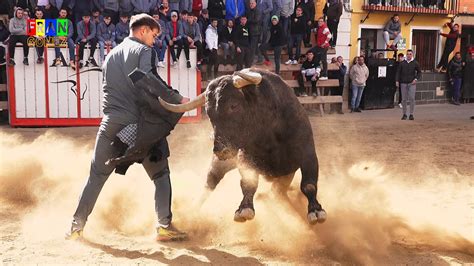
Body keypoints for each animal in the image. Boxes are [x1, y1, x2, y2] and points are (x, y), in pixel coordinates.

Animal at [159, 68, 326, 224]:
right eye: (208, 111)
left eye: (233, 105)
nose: (221, 150)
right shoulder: (245, 158)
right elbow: (248, 183)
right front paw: (244, 208)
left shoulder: (308, 154)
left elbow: (309, 185)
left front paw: (316, 211)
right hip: (223, 162)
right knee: (210, 181)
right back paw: (191, 210)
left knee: (278, 191)